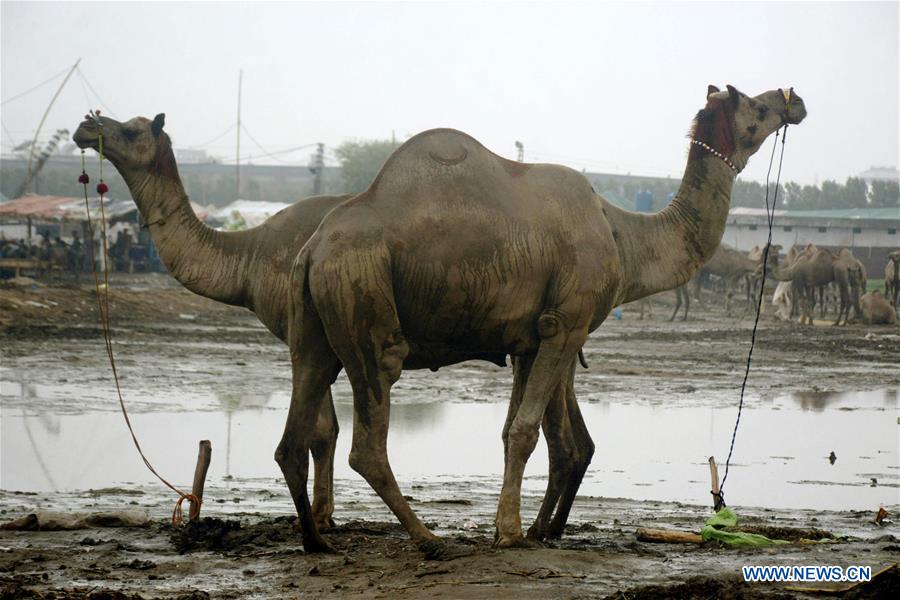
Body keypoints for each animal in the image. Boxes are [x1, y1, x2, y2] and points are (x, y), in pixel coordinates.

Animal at [71, 113, 587, 543]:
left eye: (132, 129)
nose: (86, 126)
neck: (248, 258)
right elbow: (324, 431)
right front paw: (322, 519)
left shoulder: (303, 332)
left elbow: (323, 432)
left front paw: (321, 520)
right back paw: (546, 527)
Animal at [281, 84, 805, 556]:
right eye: (757, 108)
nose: (794, 100)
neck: (621, 235)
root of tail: (314, 249)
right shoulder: (566, 323)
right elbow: (528, 432)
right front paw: (512, 533)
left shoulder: (532, 338)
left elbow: (530, 434)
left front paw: (522, 529)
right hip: (362, 294)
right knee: (369, 434)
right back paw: (431, 540)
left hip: (313, 325)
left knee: (295, 428)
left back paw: (317, 541)